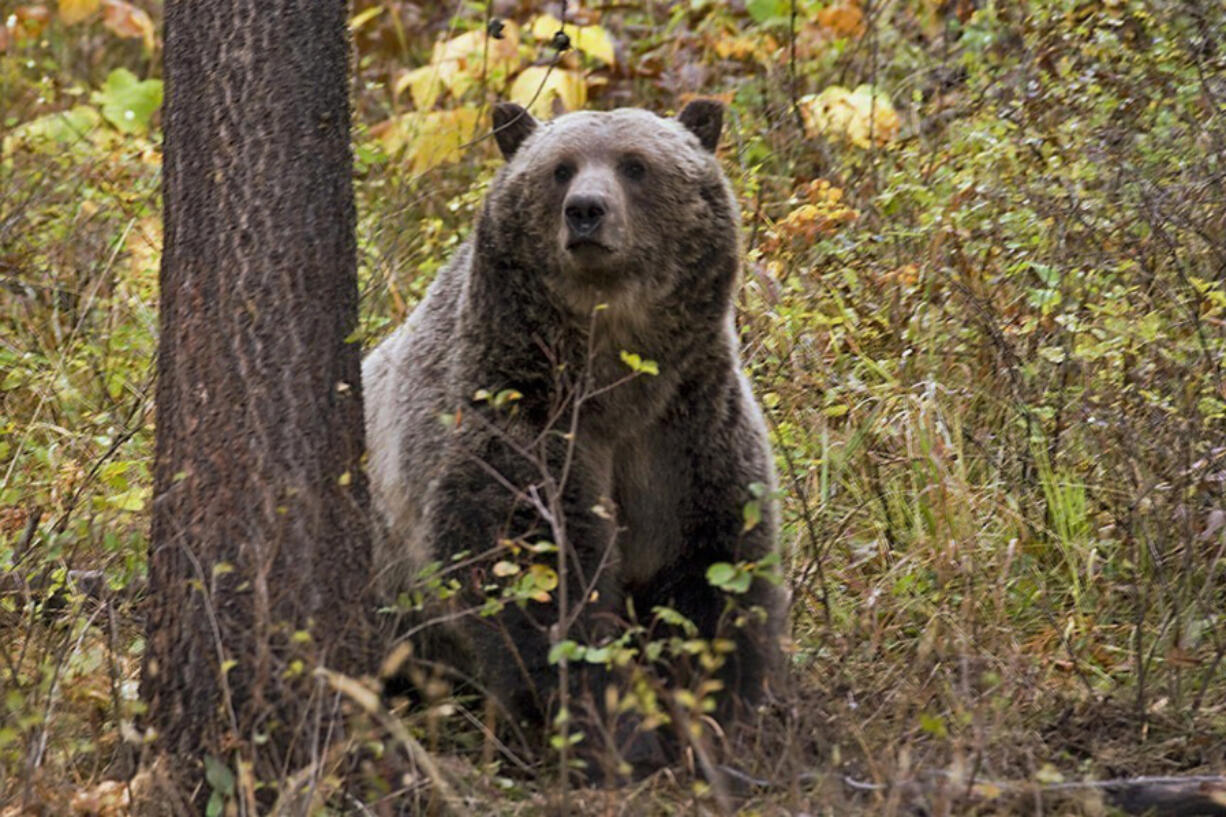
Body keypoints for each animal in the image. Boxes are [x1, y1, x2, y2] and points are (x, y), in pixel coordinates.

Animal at [365, 98, 784, 760]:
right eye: (560, 168)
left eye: (635, 164)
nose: (586, 210)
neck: (615, 380)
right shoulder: (520, 416)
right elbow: (536, 577)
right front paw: (612, 731)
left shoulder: (686, 429)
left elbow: (714, 569)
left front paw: (715, 713)